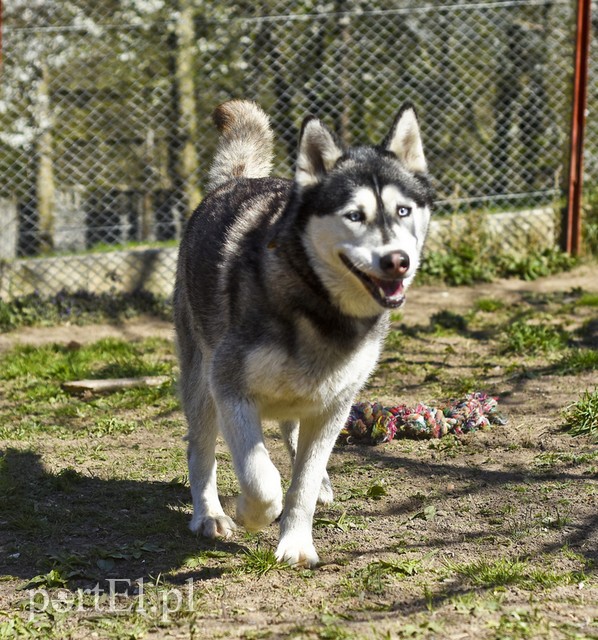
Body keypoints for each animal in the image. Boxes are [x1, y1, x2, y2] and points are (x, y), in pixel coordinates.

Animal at [176, 99, 434, 564]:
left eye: (403, 211)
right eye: (355, 216)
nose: (397, 260)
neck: (319, 309)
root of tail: (237, 179)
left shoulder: (334, 405)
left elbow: (303, 484)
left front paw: (296, 543)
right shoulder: (230, 389)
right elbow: (261, 478)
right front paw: (252, 513)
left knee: (294, 437)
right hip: (200, 382)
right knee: (201, 447)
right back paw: (210, 516)